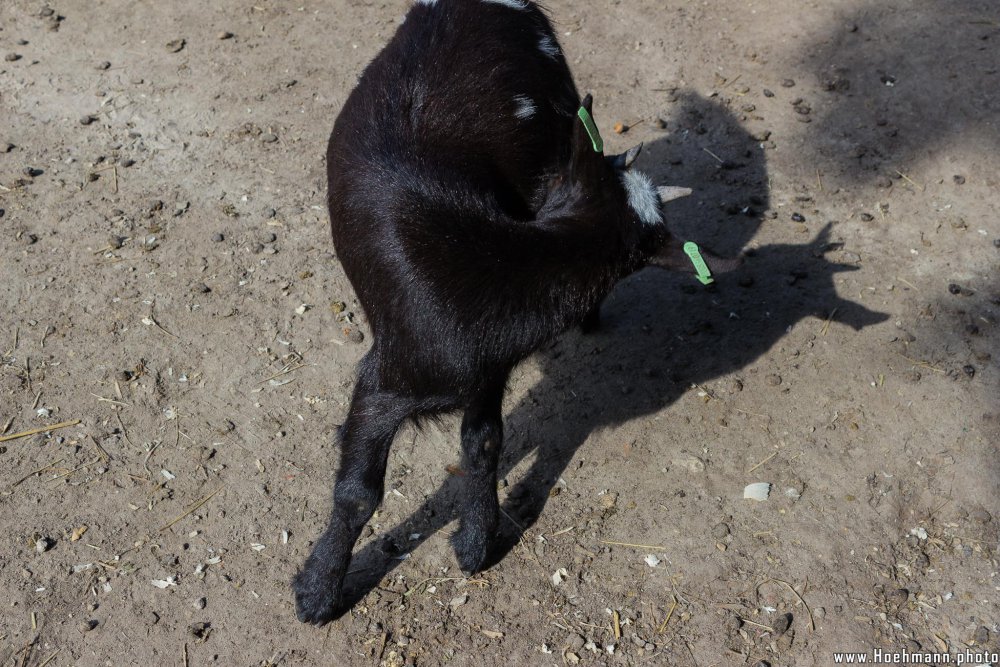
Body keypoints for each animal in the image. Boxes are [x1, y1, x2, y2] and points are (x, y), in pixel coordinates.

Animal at [292, 0, 740, 628]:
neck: (483, 267)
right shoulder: (384, 381)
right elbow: (358, 492)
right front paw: (317, 591)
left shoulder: (487, 372)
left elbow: (482, 446)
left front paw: (475, 543)